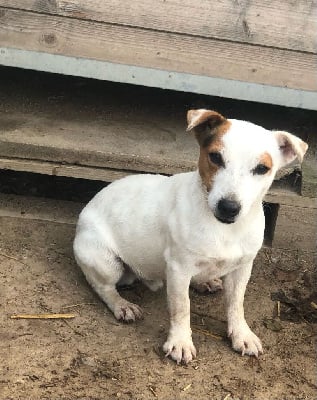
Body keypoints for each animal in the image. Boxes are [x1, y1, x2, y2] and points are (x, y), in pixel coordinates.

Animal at [73, 108, 306, 362]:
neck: (224, 229)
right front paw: (180, 341)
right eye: (215, 157)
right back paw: (122, 305)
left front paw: (241, 334)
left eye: (262, 168)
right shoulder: (179, 269)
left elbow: (236, 304)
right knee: (103, 288)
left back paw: (205, 282)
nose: (229, 207)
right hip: (106, 262)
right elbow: (181, 307)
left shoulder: (242, 268)